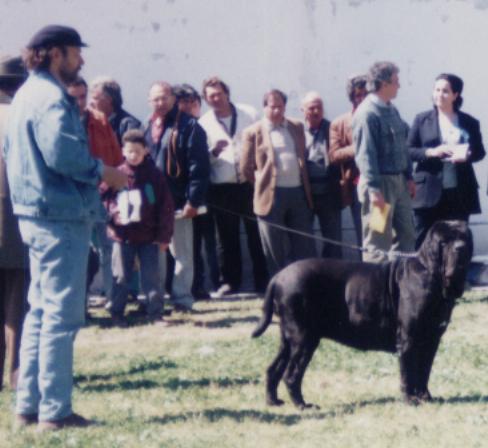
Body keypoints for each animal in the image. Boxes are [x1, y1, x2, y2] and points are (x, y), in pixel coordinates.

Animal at [252, 220, 472, 410]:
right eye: (444, 241)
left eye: (465, 237)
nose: (461, 247)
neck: (431, 275)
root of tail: (277, 277)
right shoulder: (408, 339)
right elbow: (409, 373)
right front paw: (411, 400)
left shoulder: (431, 340)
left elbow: (424, 371)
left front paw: (427, 398)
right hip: (303, 338)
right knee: (291, 374)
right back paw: (303, 406)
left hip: (288, 338)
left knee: (273, 369)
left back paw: (273, 401)